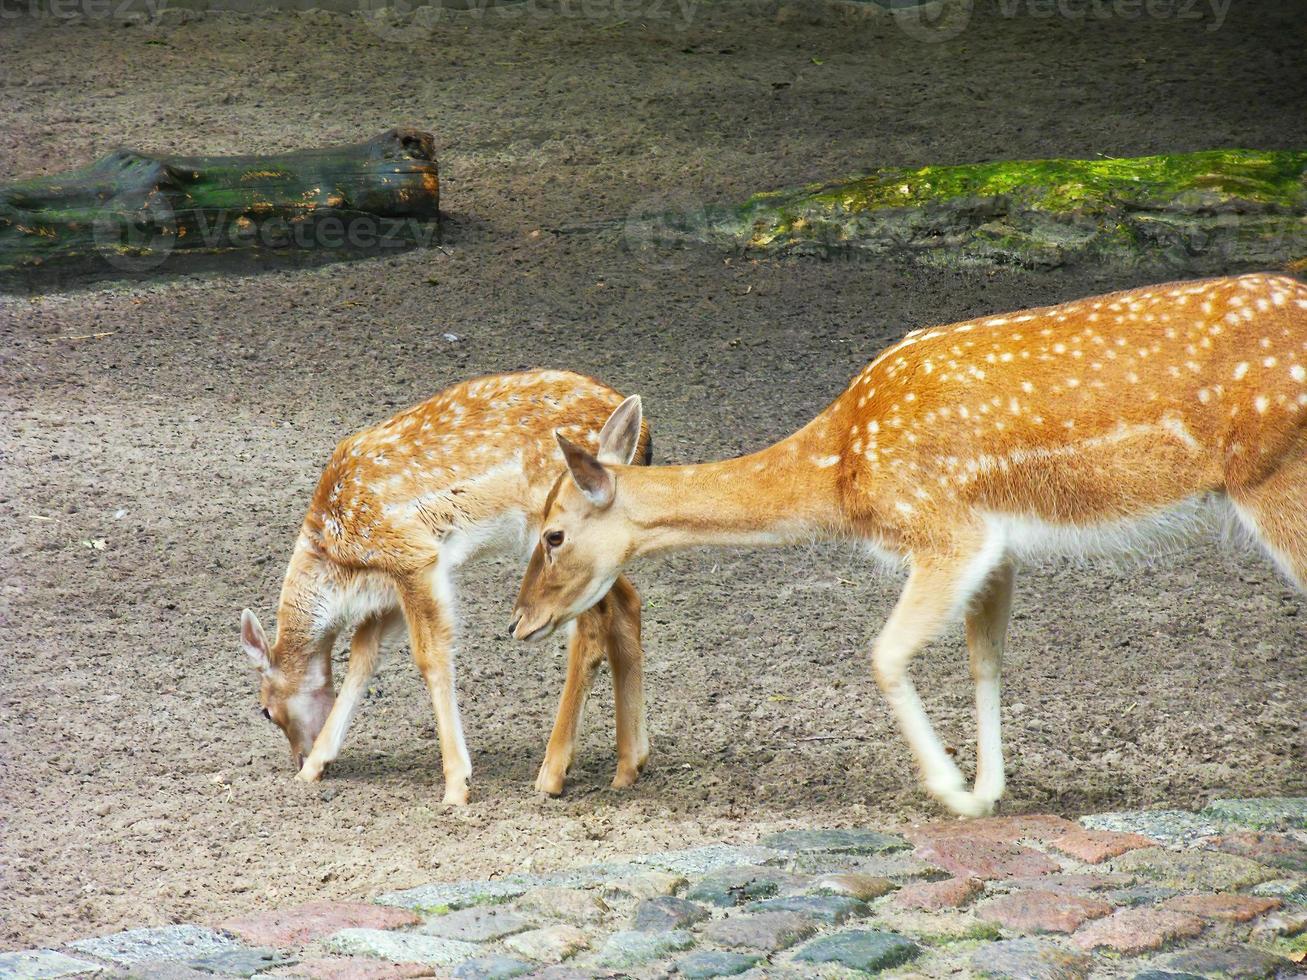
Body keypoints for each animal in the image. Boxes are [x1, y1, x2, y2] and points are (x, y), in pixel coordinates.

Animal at [240, 368, 648, 804]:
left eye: (265, 710)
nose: (298, 757)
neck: (340, 566)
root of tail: (641, 437)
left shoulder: (412, 554)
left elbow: (430, 657)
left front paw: (456, 784)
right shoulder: (392, 589)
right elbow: (364, 655)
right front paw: (316, 766)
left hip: (559, 537)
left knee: (591, 626)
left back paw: (552, 773)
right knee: (628, 602)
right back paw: (630, 765)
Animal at [509, 277, 1307, 820]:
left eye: (552, 534)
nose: (517, 622)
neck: (843, 475)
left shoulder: (944, 527)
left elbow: (884, 652)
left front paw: (951, 790)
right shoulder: (995, 544)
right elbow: (985, 658)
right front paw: (989, 790)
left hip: (1276, 481)